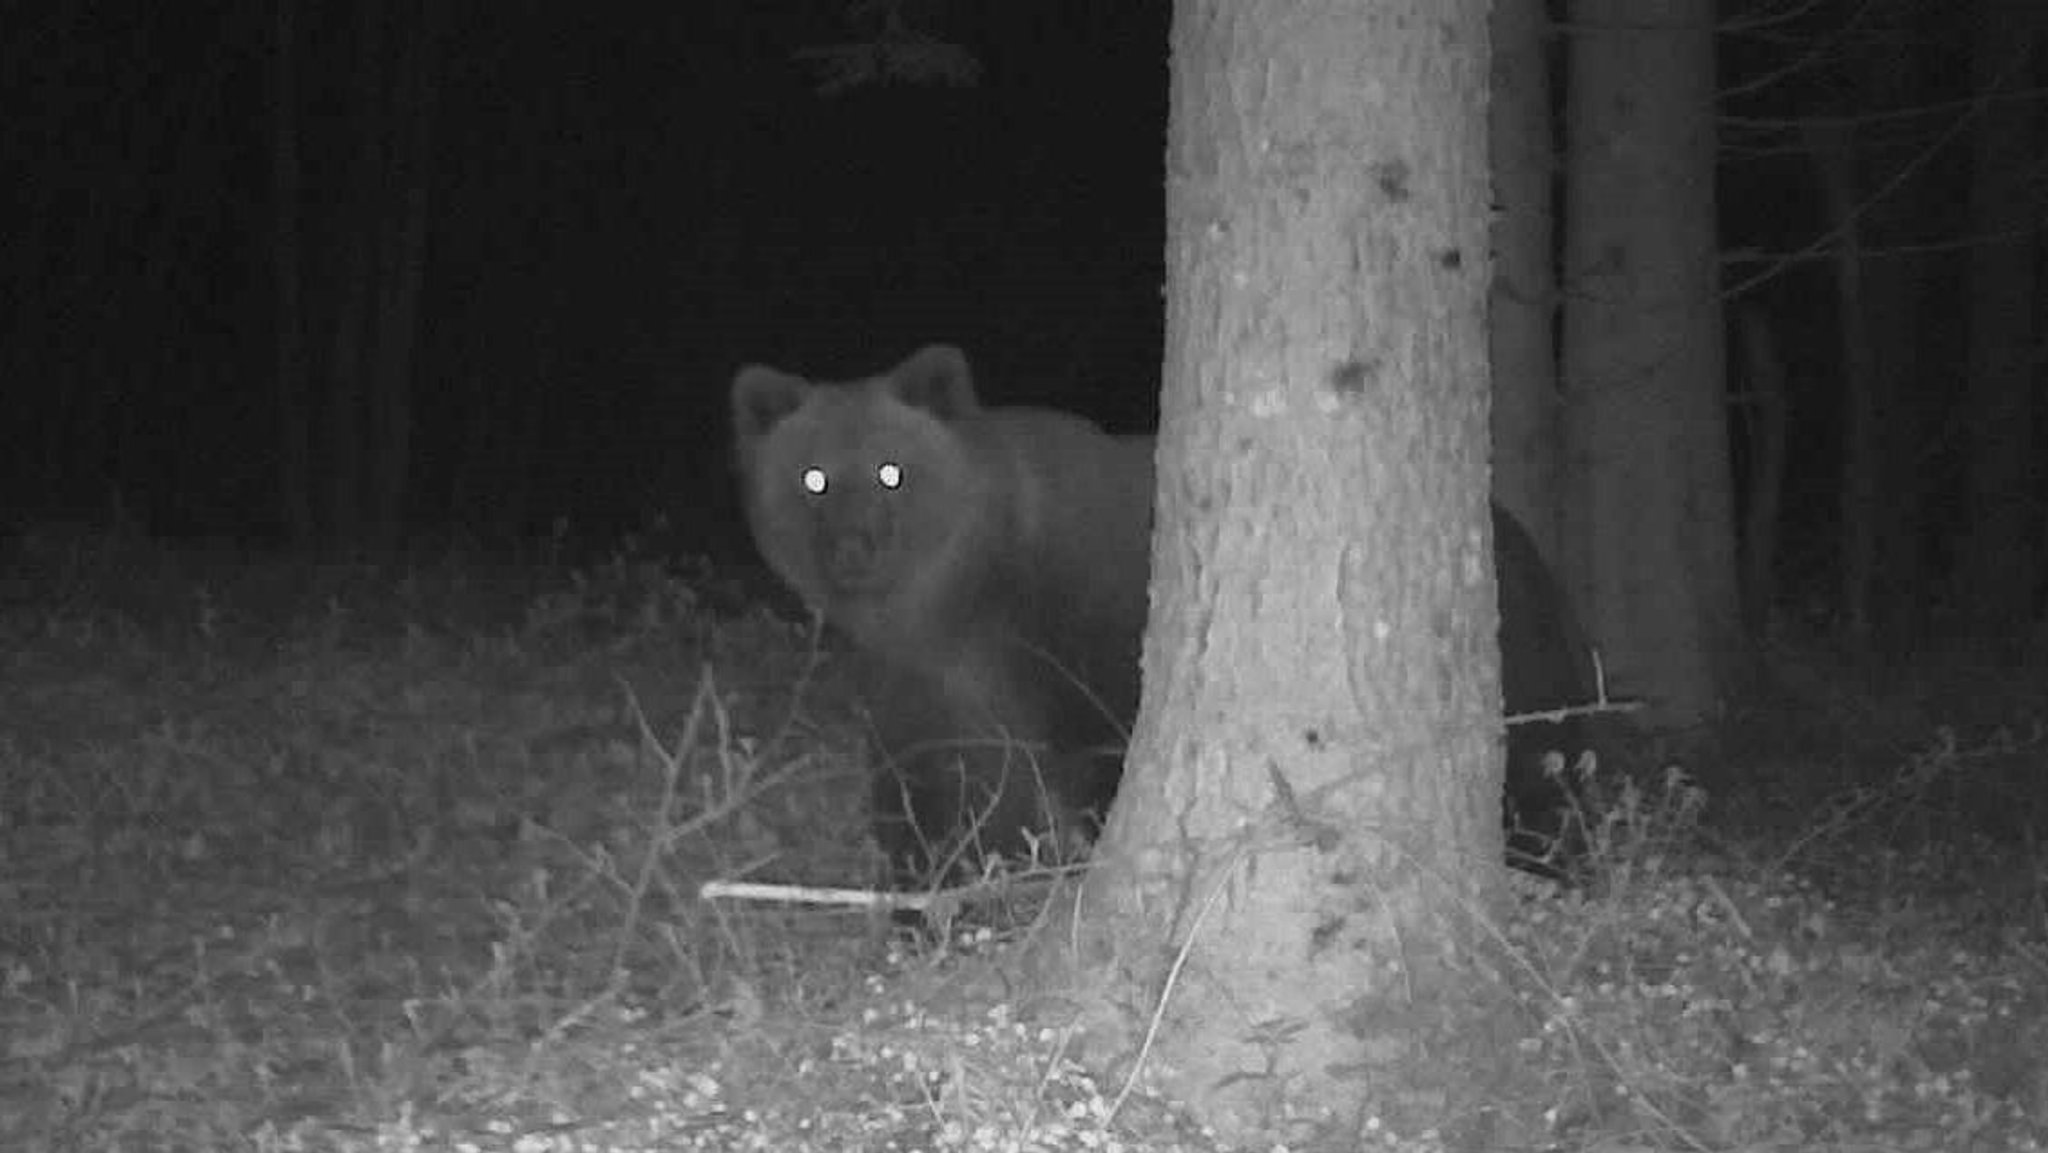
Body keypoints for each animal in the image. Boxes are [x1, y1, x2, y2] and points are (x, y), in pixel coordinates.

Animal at [737, 342, 1597, 884]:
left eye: (892, 470)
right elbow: (931, 788)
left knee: (1541, 769)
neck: (967, 595)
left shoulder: (1082, 629)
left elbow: (1093, 755)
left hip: (1521, 661)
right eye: (813, 476)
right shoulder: (919, 679)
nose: (853, 549)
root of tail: (1525, 543)